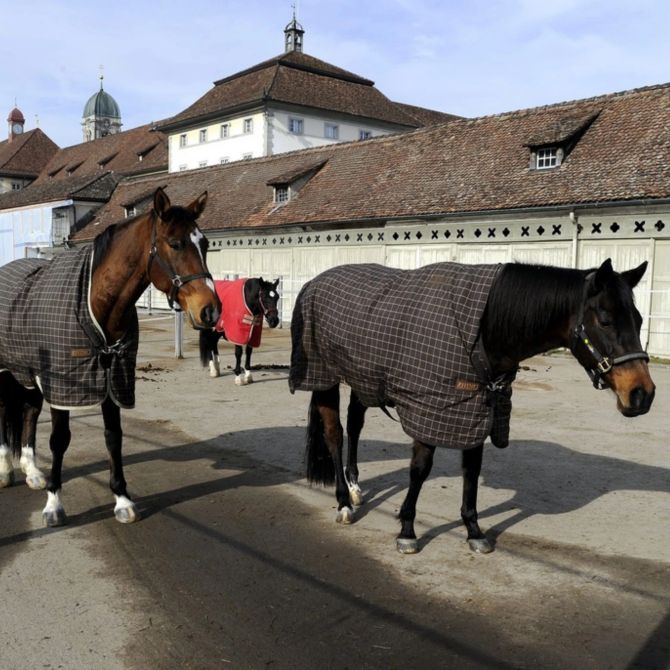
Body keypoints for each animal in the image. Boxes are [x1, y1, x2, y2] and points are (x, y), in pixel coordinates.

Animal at [0, 186, 220, 528]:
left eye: (206, 243)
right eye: (175, 243)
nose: (210, 310)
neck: (94, 301)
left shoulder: (113, 379)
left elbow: (114, 437)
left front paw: (122, 500)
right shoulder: (66, 384)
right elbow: (59, 440)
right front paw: (54, 504)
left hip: (29, 374)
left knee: (29, 412)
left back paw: (31, 470)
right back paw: (6, 470)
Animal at [288, 258, 656, 556]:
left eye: (639, 320)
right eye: (605, 320)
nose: (642, 394)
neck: (482, 328)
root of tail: (315, 282)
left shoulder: (477, 409)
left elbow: (472, 471)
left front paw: (474, 531)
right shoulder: (431, 408)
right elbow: (420, 470)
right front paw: (407, 531)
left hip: (362, 377)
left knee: (354, 424)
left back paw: (354, 489)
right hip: (324, 376)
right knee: (334, 434)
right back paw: (342, 502)